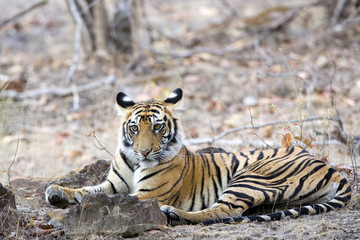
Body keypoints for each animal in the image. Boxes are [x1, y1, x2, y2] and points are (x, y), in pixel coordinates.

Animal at [45, 87, 352, 225]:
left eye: (157, 127)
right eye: (134, 128)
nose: (144, 150)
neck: (134, 161)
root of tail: (330, 167)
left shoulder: (147, 194)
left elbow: (105, 200)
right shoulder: (113, 183)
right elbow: (88, 190)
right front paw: (57, 192)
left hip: (252, 176)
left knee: (226, 210)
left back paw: (173, 213)